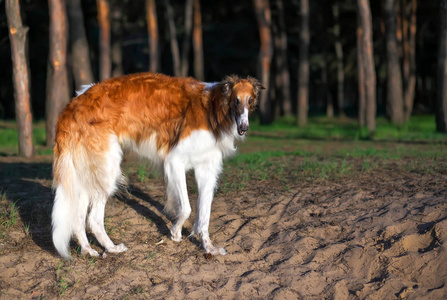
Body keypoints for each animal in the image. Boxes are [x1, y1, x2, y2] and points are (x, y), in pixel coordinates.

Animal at [51, 72, 262, 258]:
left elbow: (204, 216)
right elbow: (186, 208)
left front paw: (208, 247)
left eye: (250, 100)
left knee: (79, 219)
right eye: (236, 100)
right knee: (93, 219)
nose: (244, 128)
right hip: (106, 170)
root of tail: (71, 108)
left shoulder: (207, 169)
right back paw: (112, 248)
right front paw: (175, 232)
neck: (212, 108)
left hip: (87, 176)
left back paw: (88, 250)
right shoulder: (174, 162)